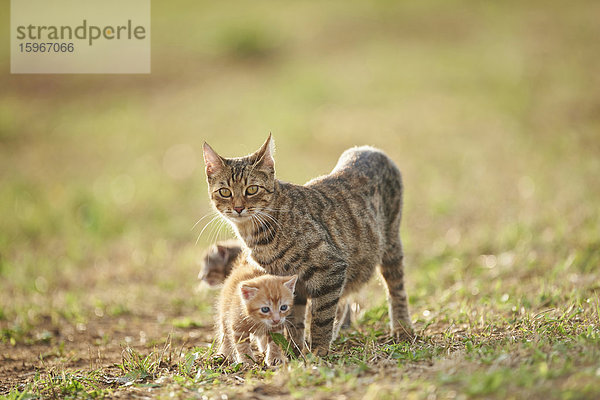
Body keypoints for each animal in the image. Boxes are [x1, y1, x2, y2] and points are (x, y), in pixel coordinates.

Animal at [202, 135, 412, 356]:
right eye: (225, 192)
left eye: (252, 189)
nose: (238, 208)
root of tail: (368, 149)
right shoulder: (288, 283)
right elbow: (293, 319)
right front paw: (293, 351)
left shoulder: (330, 268)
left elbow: (321, 316)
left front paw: (318, 351)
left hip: (391, 247)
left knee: (396, 290)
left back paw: (402, 329)